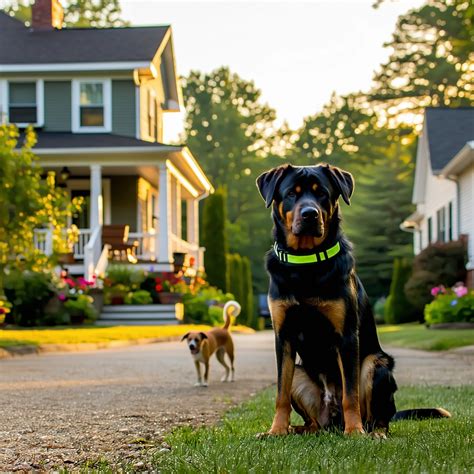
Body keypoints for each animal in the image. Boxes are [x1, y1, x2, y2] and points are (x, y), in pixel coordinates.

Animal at [258, 163, 450, 436]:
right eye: (291, 194)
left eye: (322, 193)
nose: (309, 214)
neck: (306, 263)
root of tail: (332, 420)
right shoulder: (283, 336)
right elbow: (280, 393)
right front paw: (276, 430)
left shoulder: (347, 335)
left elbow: (350, 393)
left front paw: (354, 431)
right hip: (301, 376)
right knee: (313, 423)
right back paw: (296, 429)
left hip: (376, 364)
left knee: (378, 417)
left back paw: (372, 432)